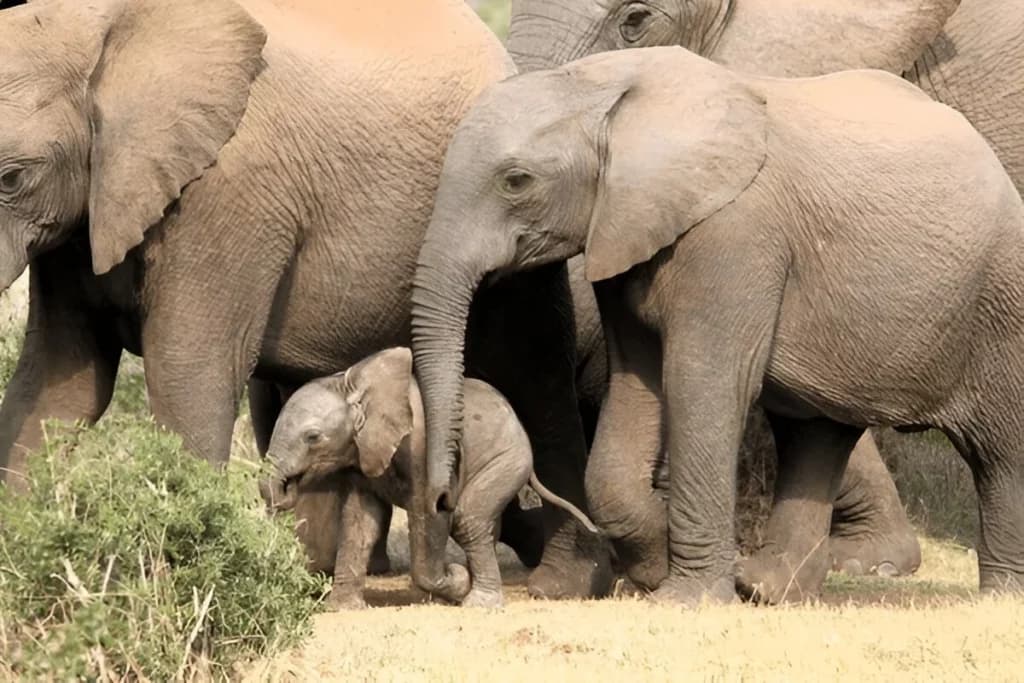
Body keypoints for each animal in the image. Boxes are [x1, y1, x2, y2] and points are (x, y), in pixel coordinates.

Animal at [261, 347, 597, 608]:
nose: (283, 491)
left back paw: (477, 601)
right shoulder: (362, 453)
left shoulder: (422, 448)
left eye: (312, 437)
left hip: (507, 459)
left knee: (467, 518)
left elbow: (429, 513)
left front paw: (457, 579)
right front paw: (343, 608)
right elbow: (361, 522)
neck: (355, 387)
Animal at [410, 44, 1024, 604]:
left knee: (1000, 451)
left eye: (516, 180)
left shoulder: (735, 233)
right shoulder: (627, 232)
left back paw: (999, 599)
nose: (441, 500)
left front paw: (685, 599)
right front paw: (654, 568)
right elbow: (636, 384)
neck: (609, 86)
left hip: (1000, 300)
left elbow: (702, 381)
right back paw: (768, 588)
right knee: (815, 433)